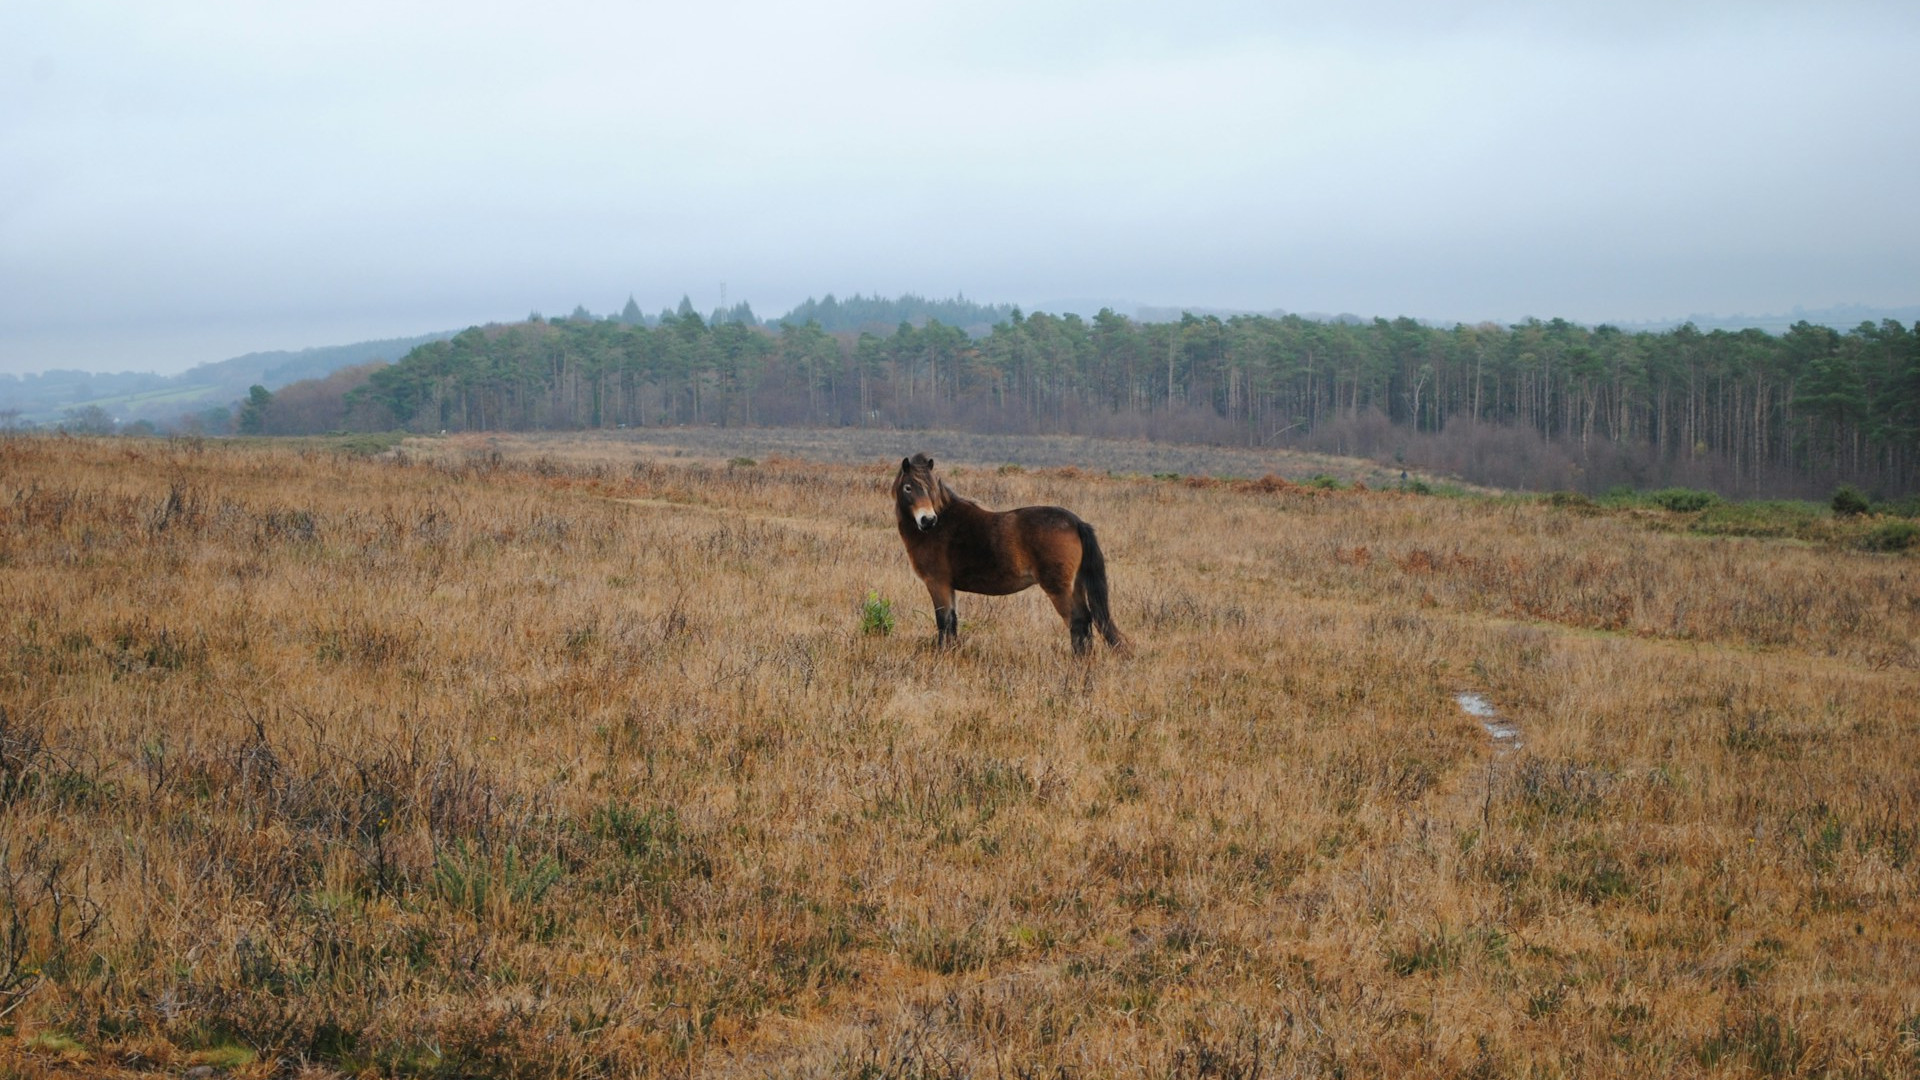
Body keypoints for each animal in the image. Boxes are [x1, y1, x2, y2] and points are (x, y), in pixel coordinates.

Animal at [891, 453, 1128, 655]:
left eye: (930, 488)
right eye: (908, 487)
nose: (927, 520)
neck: (941, 526)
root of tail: (1076, 522)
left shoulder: (937, 583)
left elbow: (943, 622)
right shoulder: (948, 587)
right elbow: (952, 623)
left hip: (1058, 588)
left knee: (1077, 621)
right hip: (1075, 585)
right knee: (1086, 621)